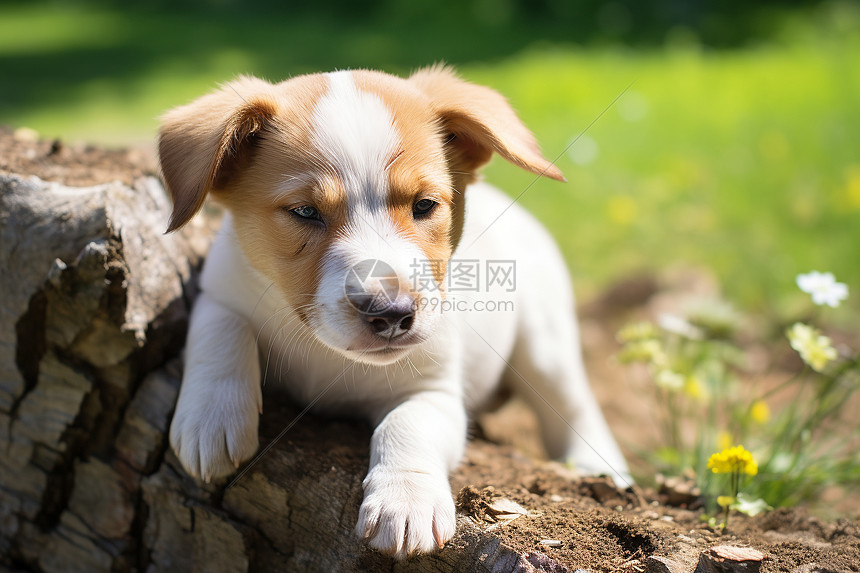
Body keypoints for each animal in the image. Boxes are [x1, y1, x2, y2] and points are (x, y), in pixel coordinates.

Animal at [160, 67, 632, 560]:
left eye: (424, 205)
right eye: (305, 211)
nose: (391, 313)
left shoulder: (434, 392)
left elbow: (406, 425)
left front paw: (405, 501)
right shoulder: (218, 288)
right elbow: (220, 333)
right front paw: (211, 418)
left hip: (546, 341)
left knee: (574, 406)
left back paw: (599, 470)